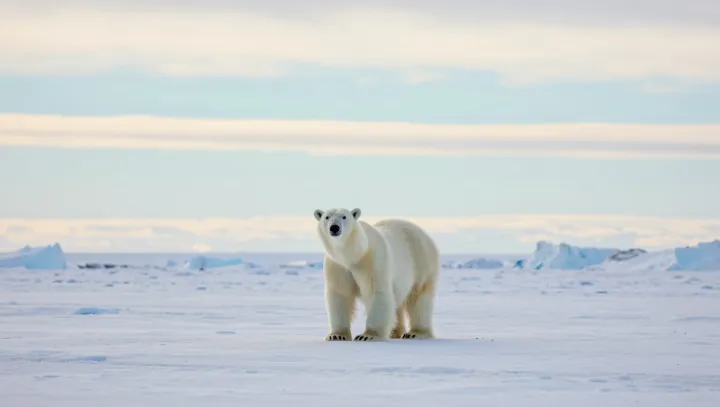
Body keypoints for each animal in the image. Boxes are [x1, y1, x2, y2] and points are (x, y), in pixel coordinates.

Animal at [313, 207, 441, 341]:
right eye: (327, 217)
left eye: (344, 216)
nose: (334, 227)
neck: (353, 256)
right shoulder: (337, 265)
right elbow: (340, 294)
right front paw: (336, 335)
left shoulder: (372, 260)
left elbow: (376, 292)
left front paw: (367, 336)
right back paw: (395, 332)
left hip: (422, 261)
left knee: (419, 297)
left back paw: (416, 333)